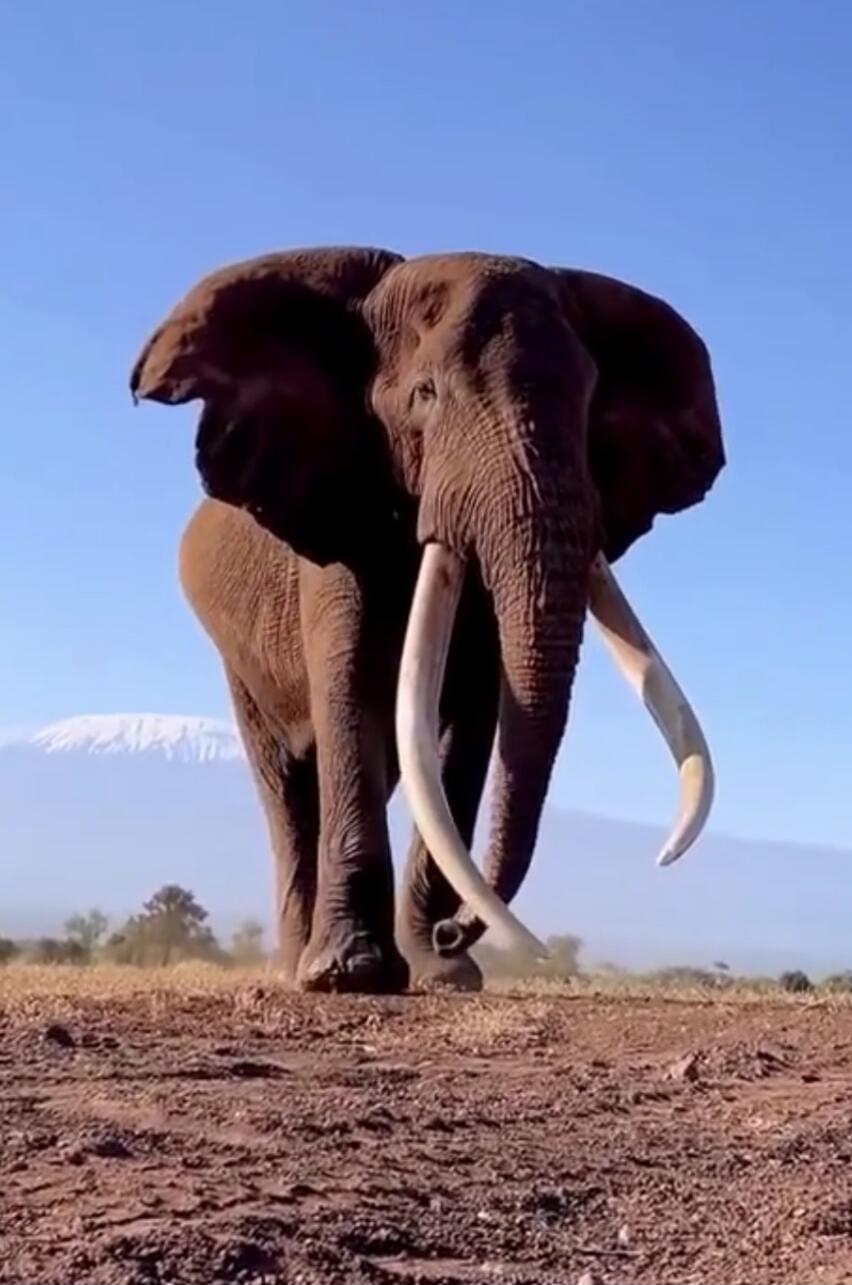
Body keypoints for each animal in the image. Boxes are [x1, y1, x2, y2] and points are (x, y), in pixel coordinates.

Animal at [130, 245, 725, 994]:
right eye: (425, 396)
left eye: (590, 404)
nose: (456, 927)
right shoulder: (336, 516)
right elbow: (350, 688)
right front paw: (350, 974)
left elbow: (471, 720)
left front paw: (442, 971)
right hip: (237, 657)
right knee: (288, 784)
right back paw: (299, 964)